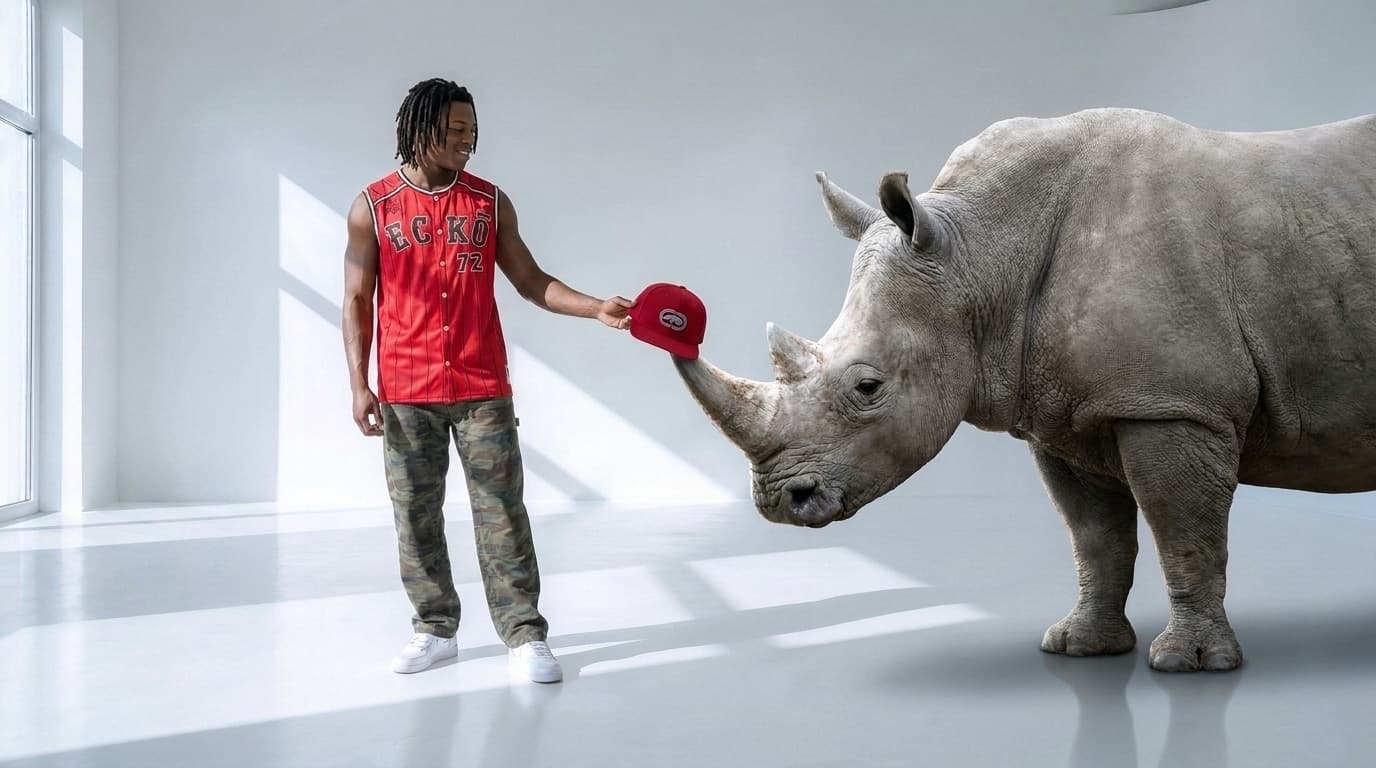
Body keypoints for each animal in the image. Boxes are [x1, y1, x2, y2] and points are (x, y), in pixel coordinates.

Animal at [674, 107, 1376, 673]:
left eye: (868, 386)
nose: (778, 502)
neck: (980, 252)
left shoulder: (1173, 404)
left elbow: (1183, 531)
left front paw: (1192, 664)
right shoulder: (1070, 415)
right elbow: (1094, 537)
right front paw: (1080, 647)